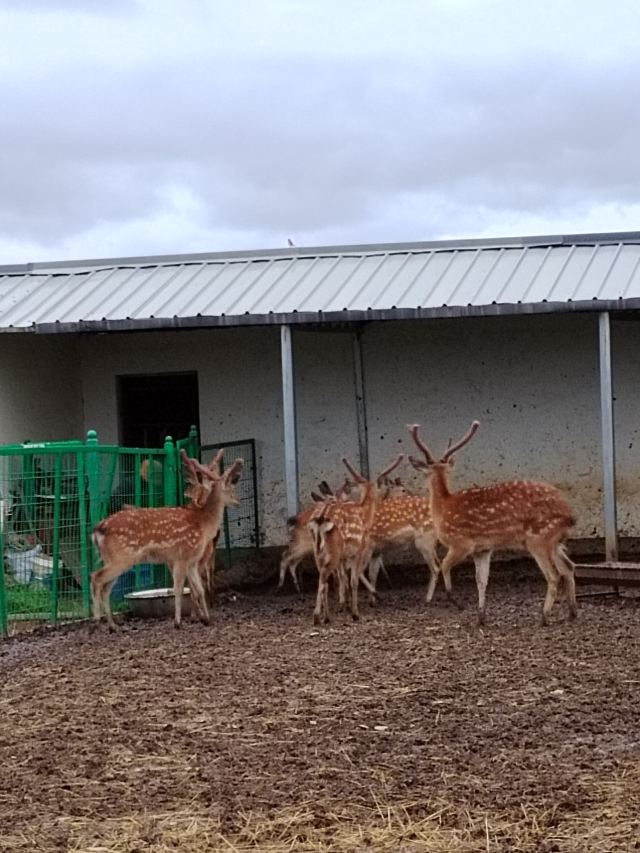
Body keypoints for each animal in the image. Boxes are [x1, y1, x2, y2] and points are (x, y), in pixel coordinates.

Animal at [90, 449, 244, 632]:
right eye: (231, 488)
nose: (239, 501)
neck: (203, 524)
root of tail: (98, 531)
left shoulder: (192, 561)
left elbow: (199, 590)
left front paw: (206, 619)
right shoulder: (181, 556)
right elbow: (178, 589)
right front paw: (178, 622)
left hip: (115, 559)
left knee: (105, 588)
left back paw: (113, 626)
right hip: (121, 557)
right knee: (95, 577)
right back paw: (96, 622)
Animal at [307, 455, 403, 625]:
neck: (364, 514)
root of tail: (320, 519)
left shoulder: (349, 555)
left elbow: (346, 577)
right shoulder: (360, 549)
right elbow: (354, 579)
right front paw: (355, 613)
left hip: (317, 550)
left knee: (323, 578)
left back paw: (326, 616)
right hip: (334, 549)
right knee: (325, 575)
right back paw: (318, 616)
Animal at [408, 421, 578, 626]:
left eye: (425, 472)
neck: (443, 508)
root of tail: (570, 514)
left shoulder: (461, 543)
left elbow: (444, 566)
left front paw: (455, 601)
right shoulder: (483, 549)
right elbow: (481, 580)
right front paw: (481, 617)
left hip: (539, 539)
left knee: (554, 575)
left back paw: (543, 617)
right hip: (555, 541)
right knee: (569, 567)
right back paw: (572, 613)